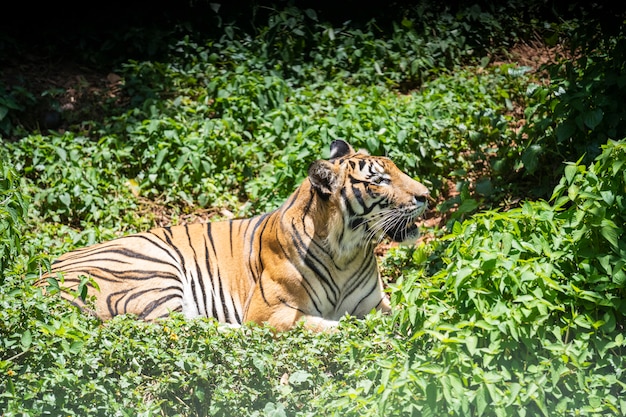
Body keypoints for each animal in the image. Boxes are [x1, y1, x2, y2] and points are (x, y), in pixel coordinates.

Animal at [40, 141, 428, 332]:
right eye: (380, 180)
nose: (426, 196)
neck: (347, 251)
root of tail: (39, 279)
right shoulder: (269, 311)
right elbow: (327, 326)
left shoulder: (376, 305)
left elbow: (400, 315)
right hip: (154, 268)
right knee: (171, 328)